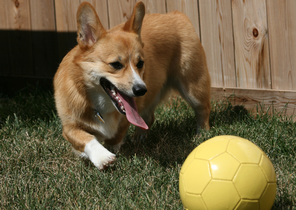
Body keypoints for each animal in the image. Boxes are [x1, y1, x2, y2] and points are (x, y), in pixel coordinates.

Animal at [53, 1, 210, 170]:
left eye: (140, 63)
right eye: (115, 64)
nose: (141, 90)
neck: (99, 104)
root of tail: (174, 14)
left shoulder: (124, 121)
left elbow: (114, 137)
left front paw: (110, 149)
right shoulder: (69, 127)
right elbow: (85, 138)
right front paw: (101, 156)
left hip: (193, 87)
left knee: (203, 109)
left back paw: (203, 134)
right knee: (148, 118)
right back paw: (139, 137)